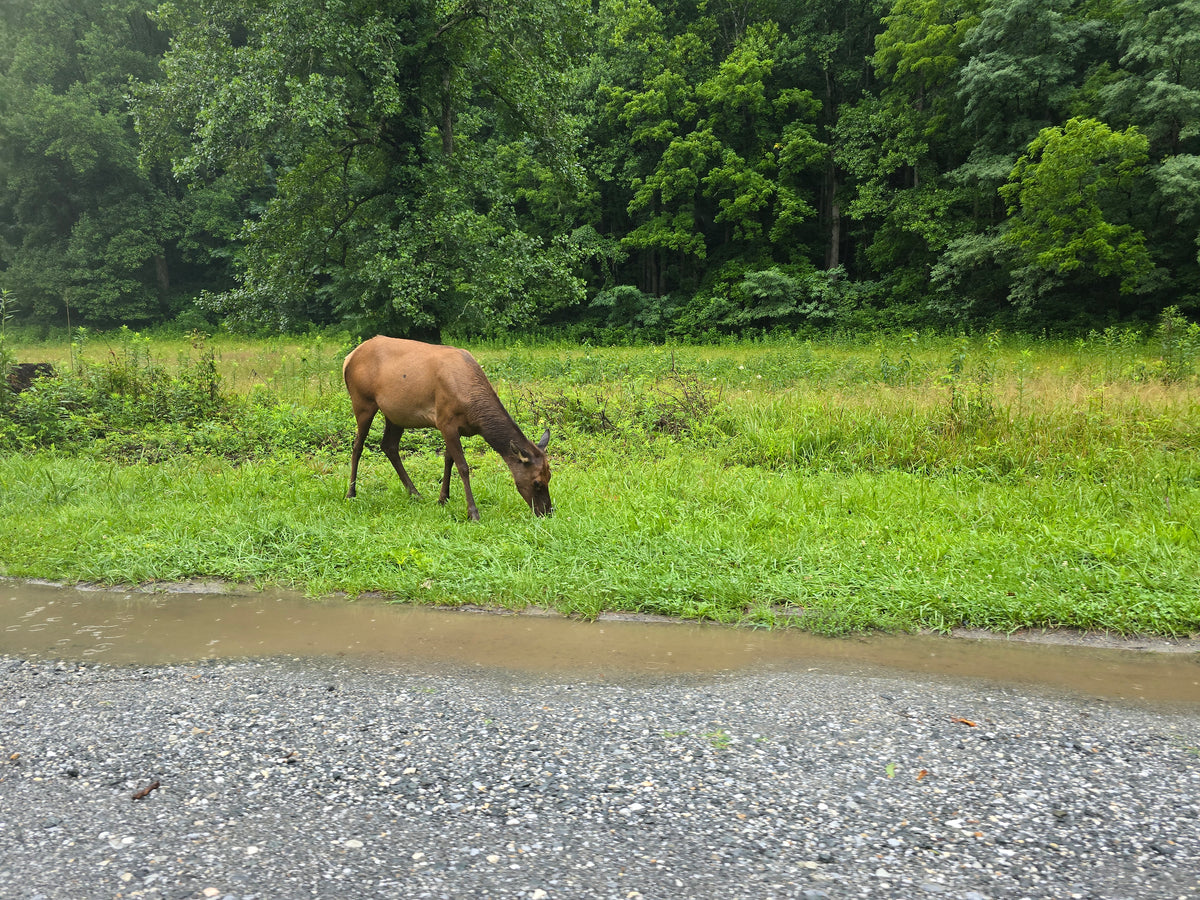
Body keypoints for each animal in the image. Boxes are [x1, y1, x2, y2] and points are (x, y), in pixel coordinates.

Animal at [342, 336, 551, 521]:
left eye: (549, 476)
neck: (473, 410)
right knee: (357, 445)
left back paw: (415, 493)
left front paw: (443, 498)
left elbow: (448, 459)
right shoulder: (445, 421)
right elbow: (463, 467)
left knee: (389, 445)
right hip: (362, 401)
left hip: (395, 414)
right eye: (537, 482)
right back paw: (351, 493)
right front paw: (472, 513)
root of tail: (348, 358)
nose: (547, 512)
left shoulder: (454, 427)